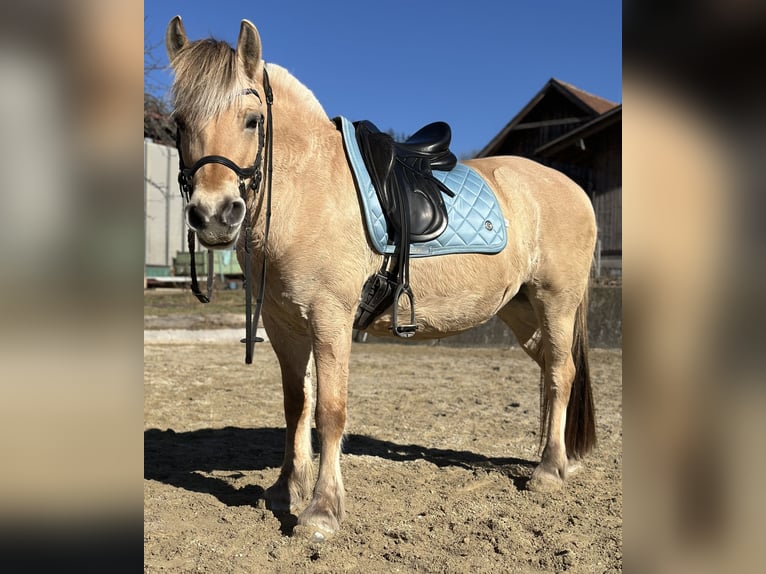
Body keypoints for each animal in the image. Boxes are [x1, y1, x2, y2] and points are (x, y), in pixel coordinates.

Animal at [165, 16, 597, 540]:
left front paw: (321, 511)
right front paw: (286, 490)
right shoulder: (283, 323)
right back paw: (558, 460)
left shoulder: (329, 316)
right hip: (520, 309)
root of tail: (574, 188)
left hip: (556, 301)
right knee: (551, 371)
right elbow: (296, 406)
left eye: (252, 120)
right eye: (179, 122)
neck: (308, 188)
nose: (213, 215)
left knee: (560, 374)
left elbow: (329, 410)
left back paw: (550, 470)